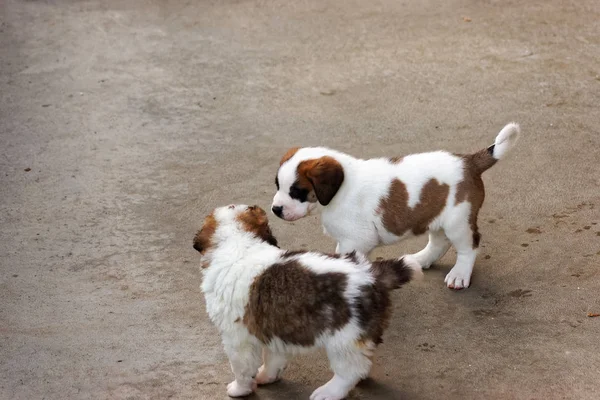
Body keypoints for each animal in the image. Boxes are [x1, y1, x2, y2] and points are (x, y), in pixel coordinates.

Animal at [195, 206, 420, 400]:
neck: (239, 242)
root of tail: (372, 273)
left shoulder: (236, 338)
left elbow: (241, 367)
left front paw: (239, 389)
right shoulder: (274, 326)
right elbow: (273, 357)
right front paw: (266, 376)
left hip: (343, 338)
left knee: (351, 370)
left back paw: (328, 392)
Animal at [272, 123, 520, 290]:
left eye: (296, 191)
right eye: (277, 185)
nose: (275, 209)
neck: (341, 188)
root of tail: (468, 161)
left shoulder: (355, 240)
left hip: (458, 220)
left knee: (469, 246)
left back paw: (459, 275)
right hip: (436, 216)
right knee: (439, 242)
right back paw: (420, 259)